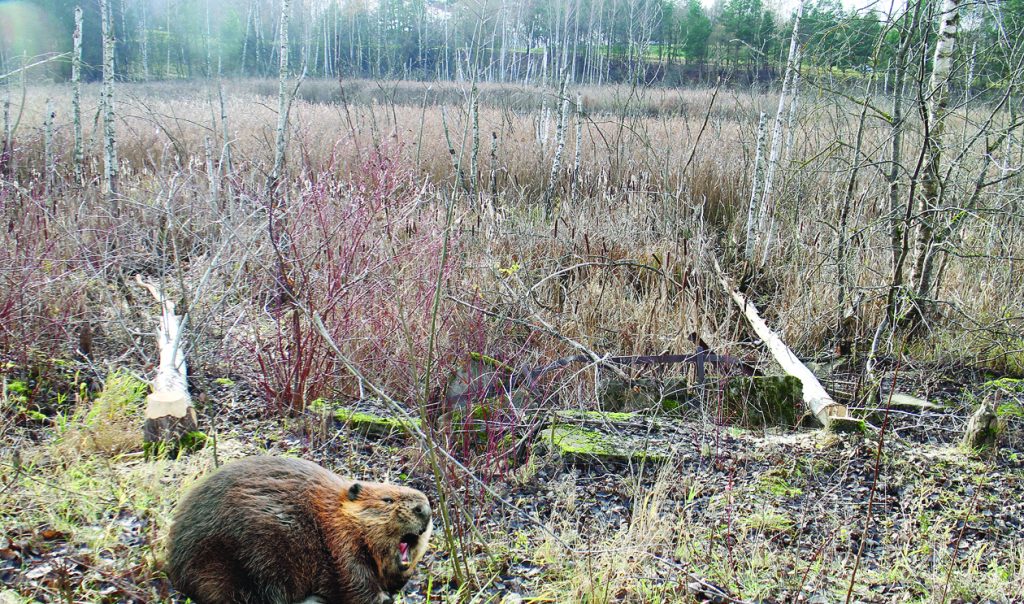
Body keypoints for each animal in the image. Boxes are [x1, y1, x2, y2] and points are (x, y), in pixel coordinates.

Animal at [165, 458, 430, 604]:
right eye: (387, 500)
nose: (425, 509)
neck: (335, 513)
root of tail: (174, 570)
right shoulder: (341, 544)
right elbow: (355, 581)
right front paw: (384, 599)